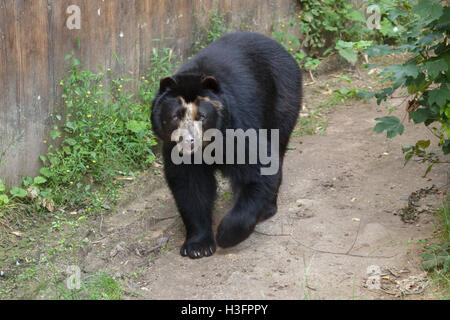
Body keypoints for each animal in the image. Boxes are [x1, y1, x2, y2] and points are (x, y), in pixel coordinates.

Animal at [151, 31, 302, 258]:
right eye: (176, 116)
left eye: (202, 116)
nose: (189, 142)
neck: (208, 146)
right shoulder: (174, 149)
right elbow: (190, 187)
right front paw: (198, 246)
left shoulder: (237, 128)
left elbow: (259, 168)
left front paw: (225, 234)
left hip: (282, 100)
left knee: (278, 146)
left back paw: (267, 208)